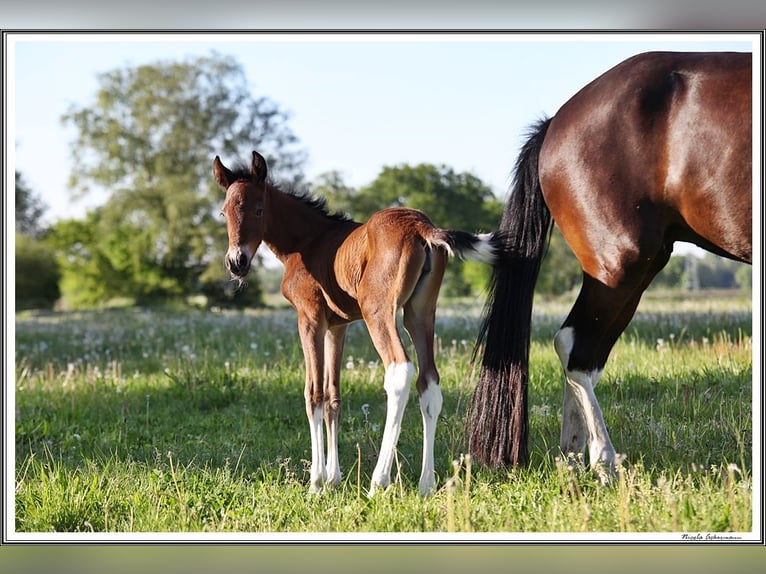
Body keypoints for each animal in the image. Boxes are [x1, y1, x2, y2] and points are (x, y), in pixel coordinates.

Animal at [214, 151, 503, 496]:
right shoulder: (338, 326)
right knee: (429, 382)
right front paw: (333, 478)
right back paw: (427, 483)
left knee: (400, 370)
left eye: (259, 209)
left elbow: (313, 394)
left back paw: (379, 481)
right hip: (419, 312)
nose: (237, 262)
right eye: (223, 212)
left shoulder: (310, 318)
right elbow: (333, 396)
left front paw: (316, 483)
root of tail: (422, 226)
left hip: (377, 310)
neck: (309, 242)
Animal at [468, 51, 753, 478]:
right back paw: (603, 462)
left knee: (583, 354)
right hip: (619, 265)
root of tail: (556, 123)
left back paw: (571, 461)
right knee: (576, 347)